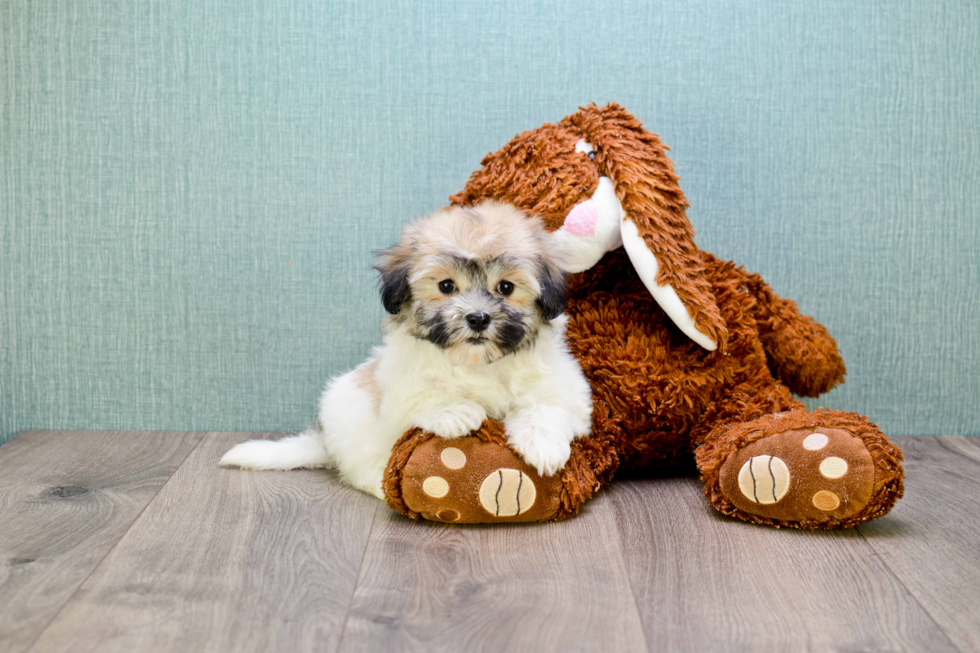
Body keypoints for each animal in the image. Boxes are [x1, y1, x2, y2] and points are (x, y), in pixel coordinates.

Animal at [219, 201, 592, 496]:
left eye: (505, 287)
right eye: (446, 286)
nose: (477, 318)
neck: (476, 362)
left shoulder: (565, 387)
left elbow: (549, 404)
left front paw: (542, 445)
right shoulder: (398, 387)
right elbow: (419, 396)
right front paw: (456, 411)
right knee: (363, 468)